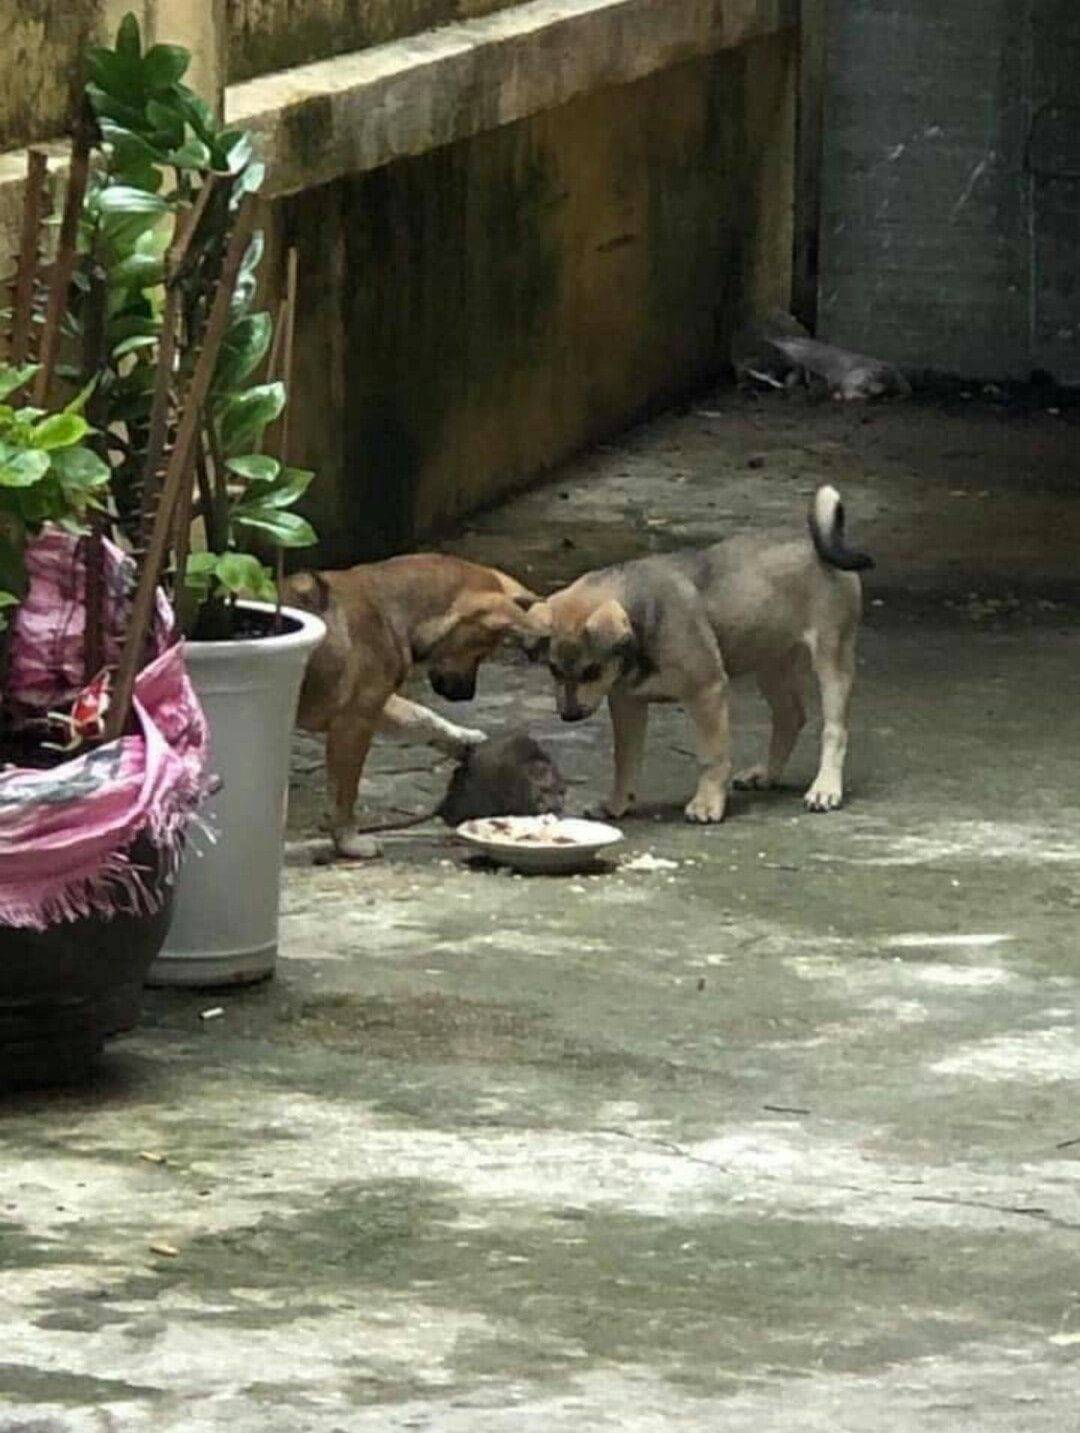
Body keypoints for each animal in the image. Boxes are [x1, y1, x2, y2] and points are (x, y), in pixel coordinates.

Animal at [283, 553, 535, 854]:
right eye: (480, 652)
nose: (467, 696)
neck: (392, 610)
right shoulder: (355, 722)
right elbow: (345, 791)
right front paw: (349, 841)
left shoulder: (375, 707)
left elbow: (422, 717)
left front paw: (463, 739)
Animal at [527, 490, 870, 825]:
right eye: (553, 669)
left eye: (591, 671)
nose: (568, 716)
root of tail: (815, 543)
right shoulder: (627, 703)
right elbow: (624, 761)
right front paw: (616, 805)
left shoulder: (707, 692)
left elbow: (711, 757)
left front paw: (707, 804)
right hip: (770, 663)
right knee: (790, 717)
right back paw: (766, 775)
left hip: (832, 657)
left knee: (834, 729)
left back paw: (825, 789)